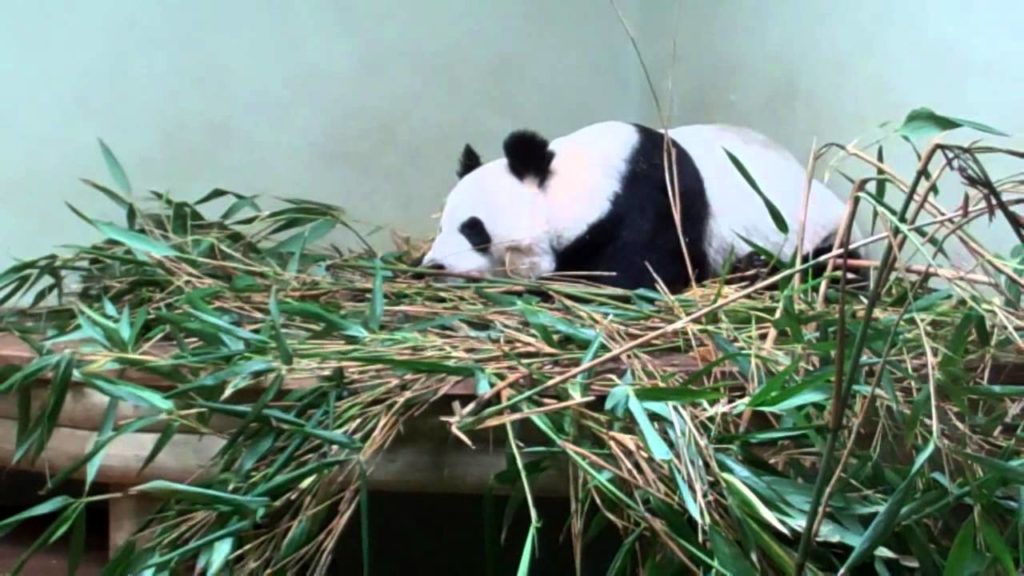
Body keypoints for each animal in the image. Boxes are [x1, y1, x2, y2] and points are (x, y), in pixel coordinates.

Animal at [420, 120, 863, 292]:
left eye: (474, 229)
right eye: (440, 226)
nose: (433, 267)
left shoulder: (650, 203)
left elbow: (632, 277)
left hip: (823, 233)